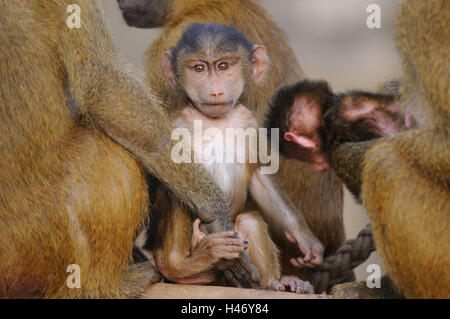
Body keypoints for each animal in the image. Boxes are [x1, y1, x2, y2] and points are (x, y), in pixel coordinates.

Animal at [139, 23, 322, 294]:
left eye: (223, 66)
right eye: (199, 68)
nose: (215, 90)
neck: (217, 121)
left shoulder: (249, 122)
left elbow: (260, 176)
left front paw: (305, 240)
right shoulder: (176, 124)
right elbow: (170, 170)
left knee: (249, 220)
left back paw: (274, 283)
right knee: (179, 191)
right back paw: (186, 265)